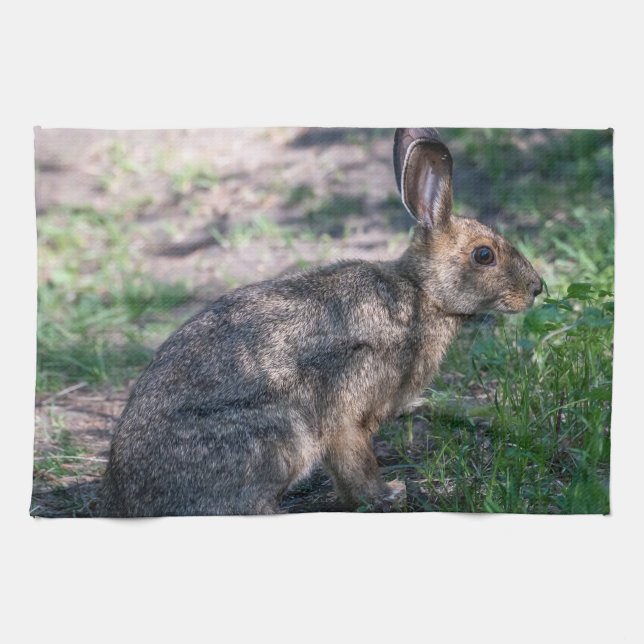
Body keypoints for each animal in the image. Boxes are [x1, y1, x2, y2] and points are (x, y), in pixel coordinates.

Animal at [100, 127, 542, 516]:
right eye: (484, 255)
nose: (538, 288)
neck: (421, 293)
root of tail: (130, 501)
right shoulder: (347, 409)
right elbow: (354, 462)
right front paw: (388, 495)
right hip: (280, 435)